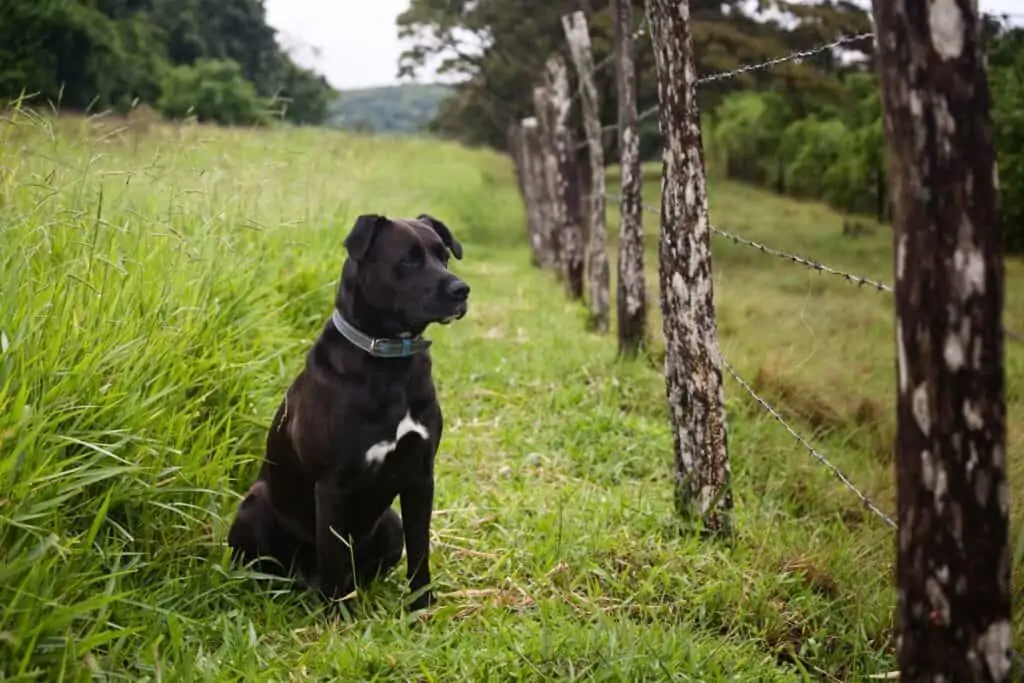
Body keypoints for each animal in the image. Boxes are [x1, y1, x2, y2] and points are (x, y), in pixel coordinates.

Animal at [226, 210, 468, 610]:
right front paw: (339, 614)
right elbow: (334, 555)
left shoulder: (420, 477)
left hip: (390, 523)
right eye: (408, 260)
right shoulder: (332, 485)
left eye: (444, 256)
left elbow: (420, 549)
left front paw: (421, 608)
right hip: (255, 505)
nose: (461, 290)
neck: (389, 364)